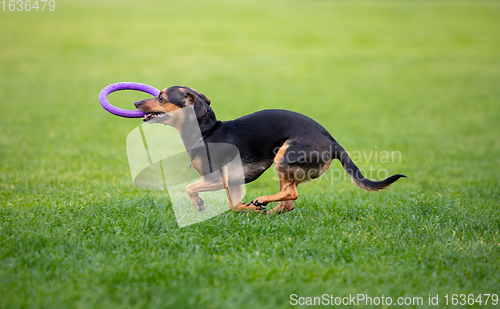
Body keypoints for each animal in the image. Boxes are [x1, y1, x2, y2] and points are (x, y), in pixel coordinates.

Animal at [134, 85, 406, 213]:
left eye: (161, 97)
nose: (136, 102)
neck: (206, 131)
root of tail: (332, 141)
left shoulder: (216, 179)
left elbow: (191, 187)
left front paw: (199, 205)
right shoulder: (234, 183)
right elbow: (234, 205)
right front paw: (249, 210)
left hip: (283, 156)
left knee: (291, 195)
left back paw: (264, 201)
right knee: (288, 201)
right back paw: (269, 211)